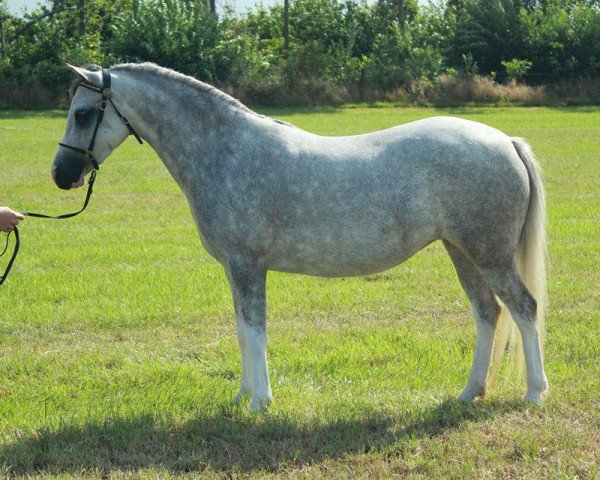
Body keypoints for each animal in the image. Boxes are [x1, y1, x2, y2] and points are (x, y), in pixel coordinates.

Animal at [51, 62, 548, 410]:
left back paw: (534, 393)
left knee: (523, 308)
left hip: (490, 254)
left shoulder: (248, 265)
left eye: (83, 113)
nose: (61, 175)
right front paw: (241, 397)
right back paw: (469, 393)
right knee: (487, 312)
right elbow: (241, 331)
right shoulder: (234, 269)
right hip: (461, 251)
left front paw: (260, 402)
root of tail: (505, 141)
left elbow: (256, 333)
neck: (224, 151)